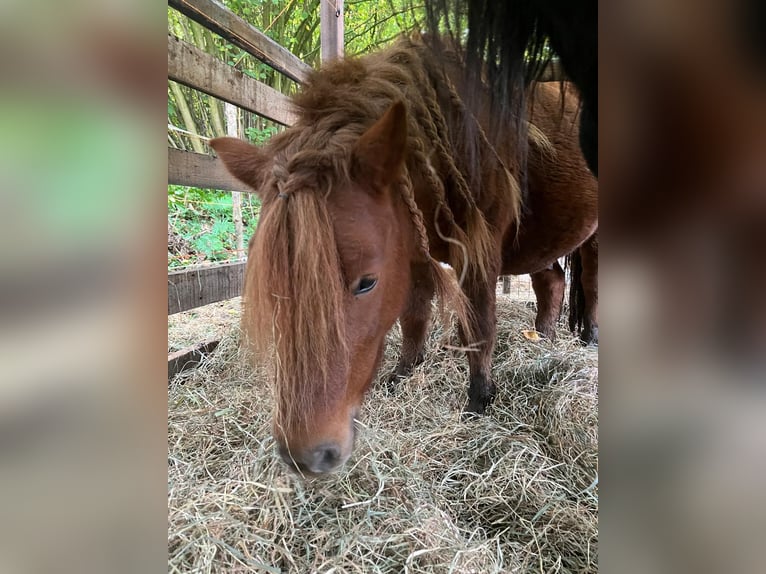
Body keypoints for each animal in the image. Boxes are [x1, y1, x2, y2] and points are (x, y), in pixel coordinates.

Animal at [212, 37, 600, 476]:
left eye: (366, 282)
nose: (307, 456)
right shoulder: (411, 252)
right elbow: (413, 316)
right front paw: (403, 372)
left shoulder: (479, 253)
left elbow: (479, 326)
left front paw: (479, 398)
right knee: (552, 282)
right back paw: (544, 338)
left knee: (588, 284)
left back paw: (588, 338)